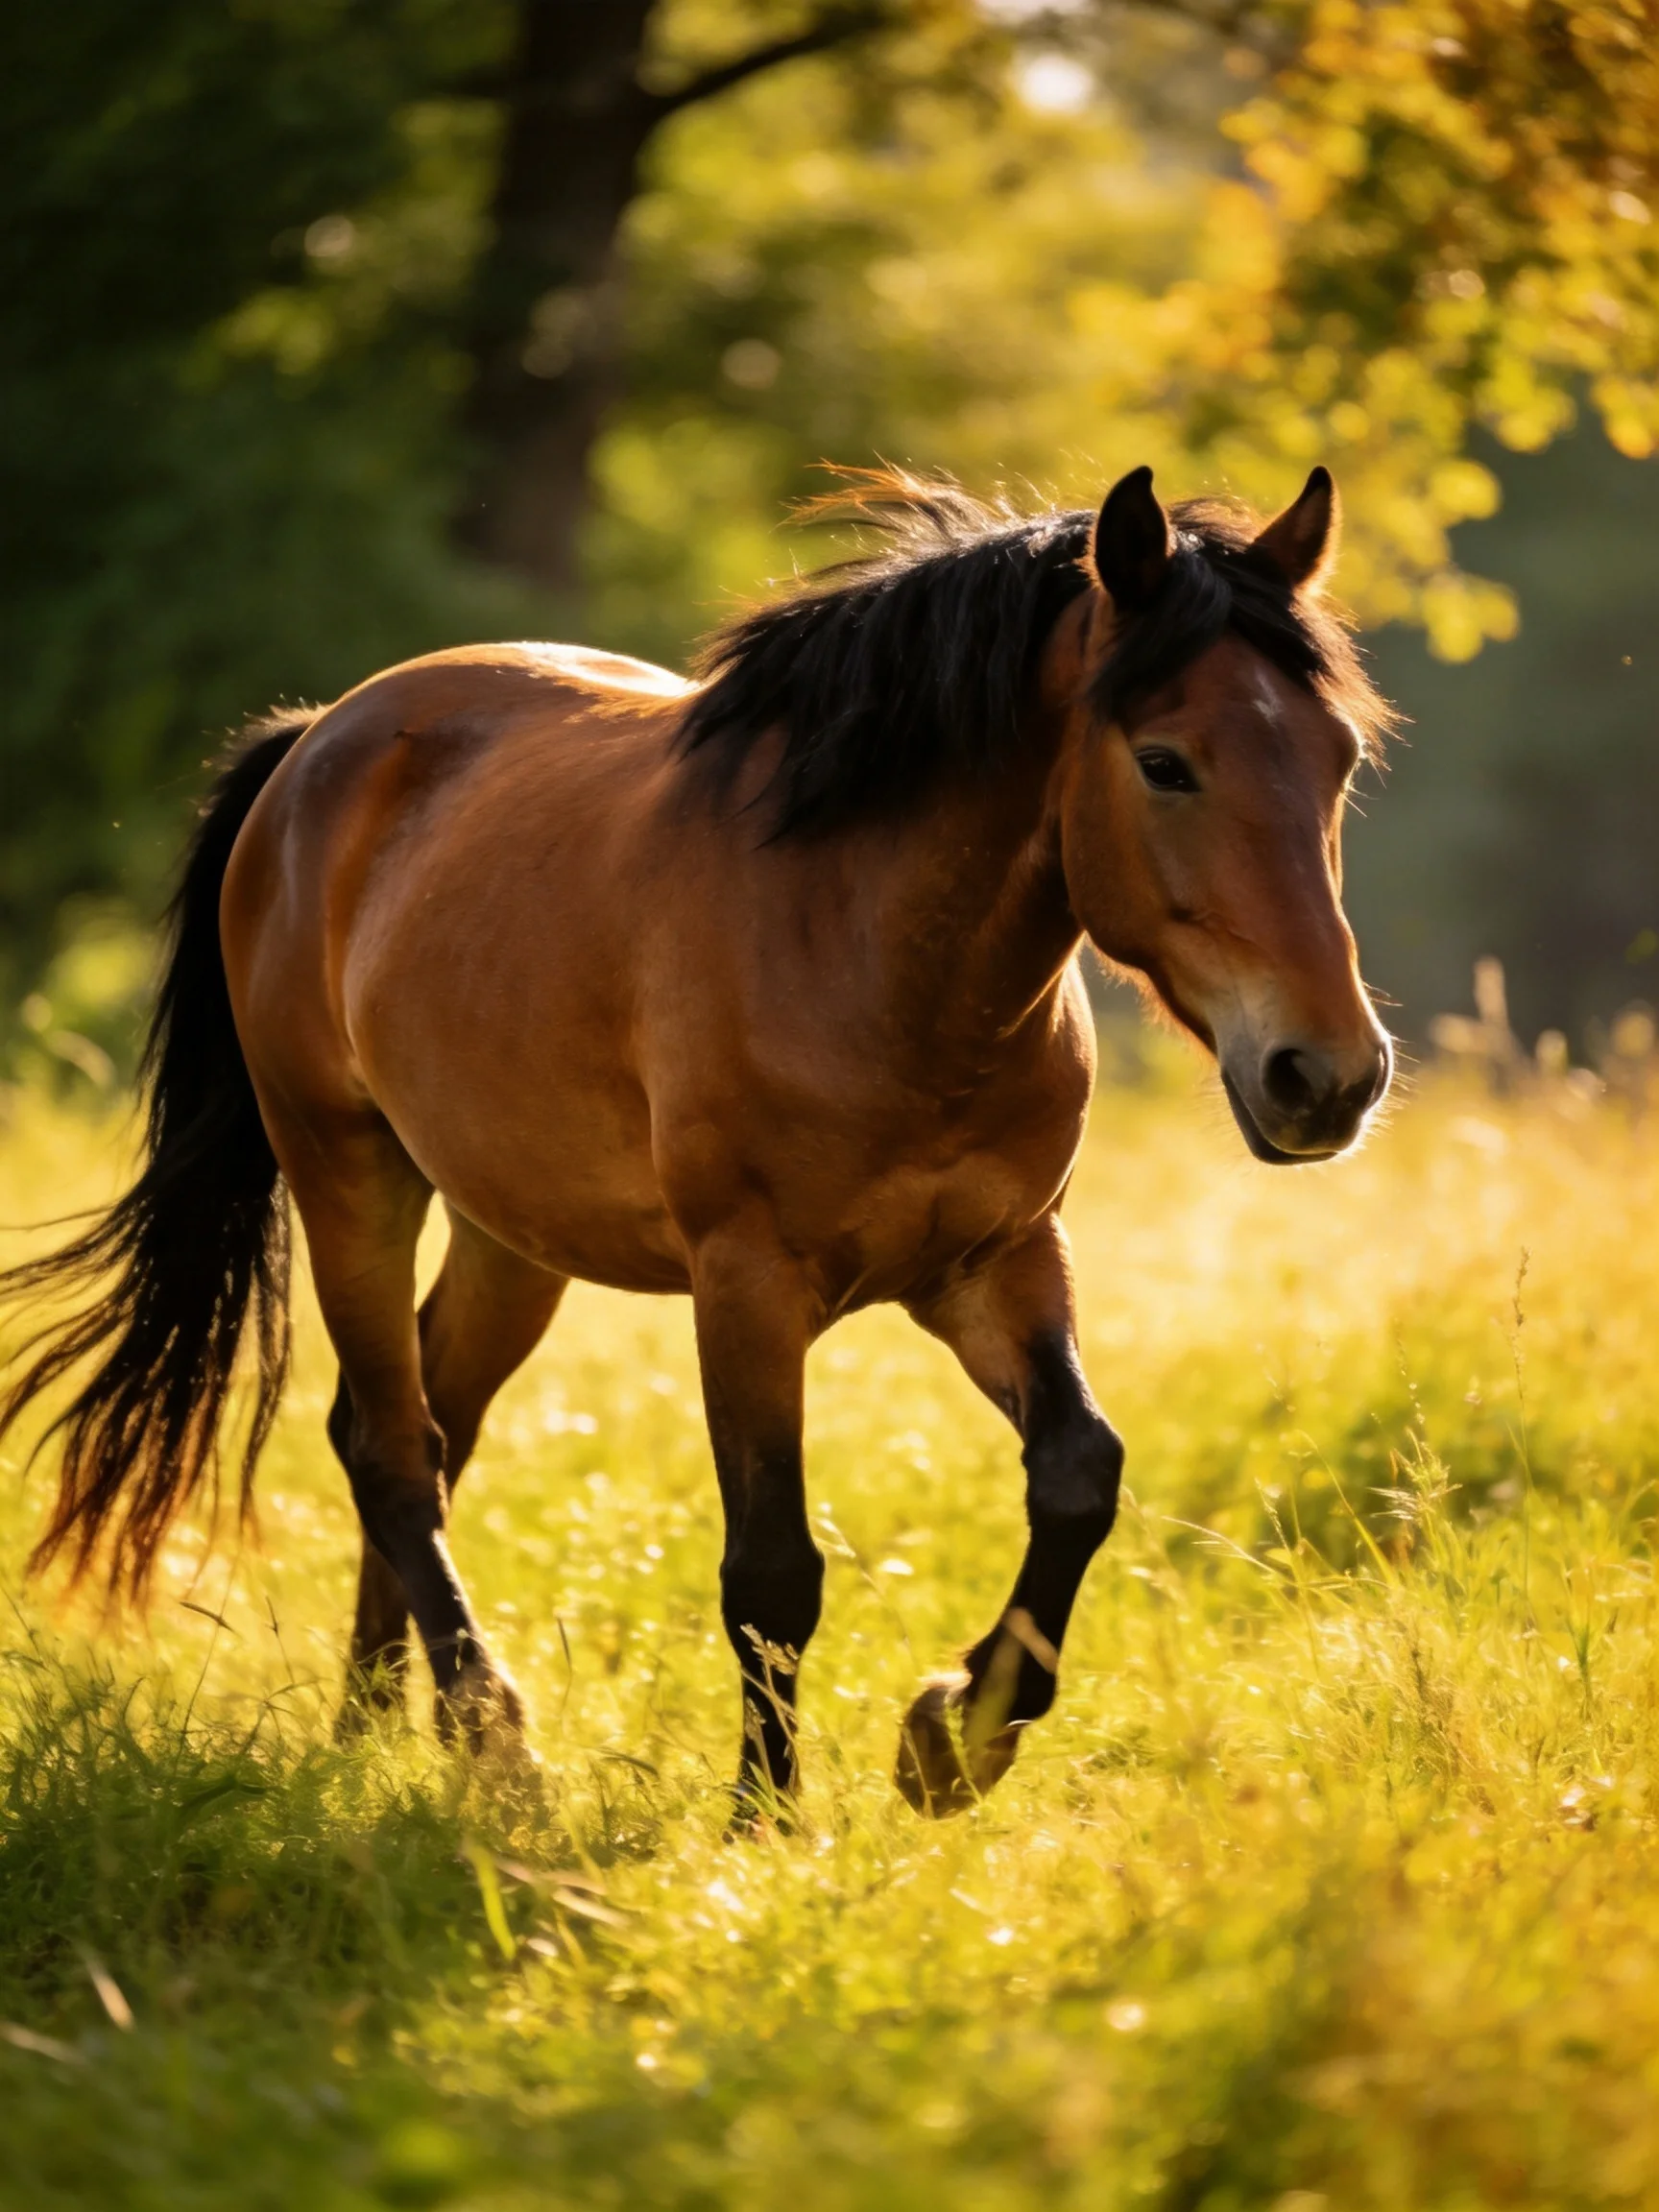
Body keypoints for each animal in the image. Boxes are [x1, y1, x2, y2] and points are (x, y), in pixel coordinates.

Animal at [0, 462, 1393, 1819]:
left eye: (1337, 760)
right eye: (1165, 762)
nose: (1328, 1076)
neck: (871, 950)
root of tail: (317, 743)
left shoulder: (994, 1261)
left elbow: (1078, 1475)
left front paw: (953, 1741)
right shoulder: (748, 1284)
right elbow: (772, 1567)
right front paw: (765, 1821)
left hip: (513, 1235)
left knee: (424, 1428)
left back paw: (374, 1729)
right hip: (348, 1171)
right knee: (390, 1447)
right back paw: (494, 1745)